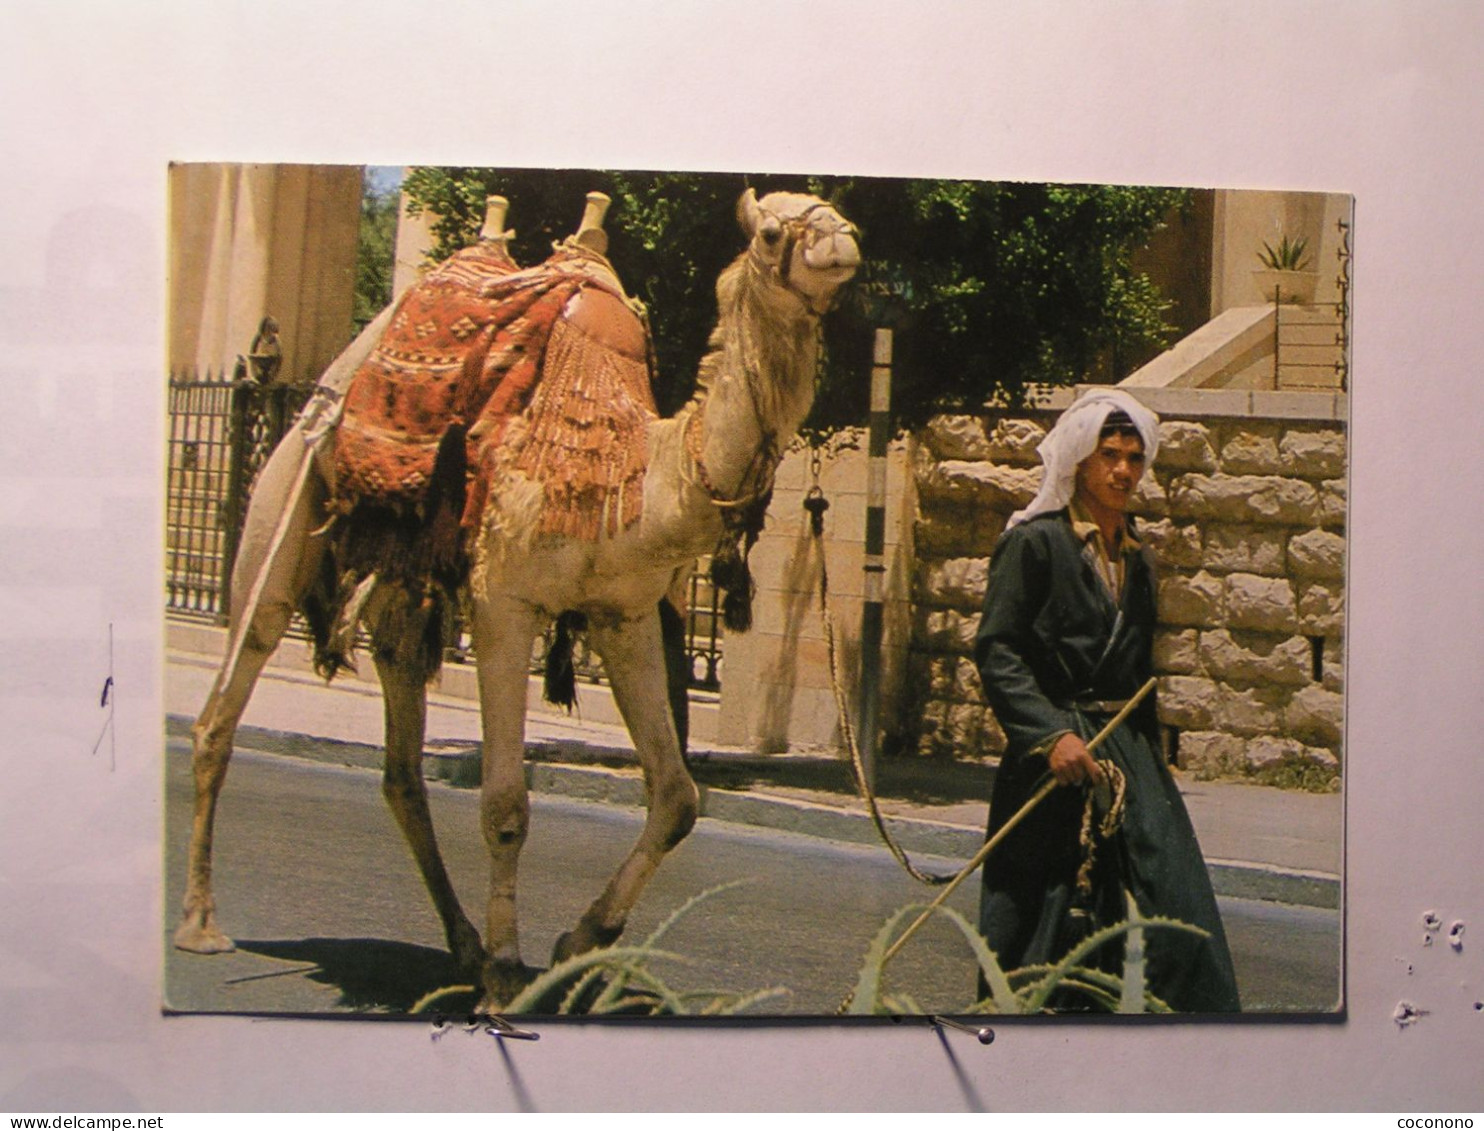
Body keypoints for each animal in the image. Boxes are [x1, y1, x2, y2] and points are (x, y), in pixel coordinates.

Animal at [175, 184, 866, 1003]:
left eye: (833, 210)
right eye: (769, 232)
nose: (843, 241)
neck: (640, 474)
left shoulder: (623, 614)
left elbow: (677, 799)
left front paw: (576, 943)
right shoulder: (505, 603)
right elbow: (506, 803)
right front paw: (510, 973)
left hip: (404, 586)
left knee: (401, 756)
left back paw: (462, 944)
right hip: (288, 501)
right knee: (226, 697)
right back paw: (202, 924)